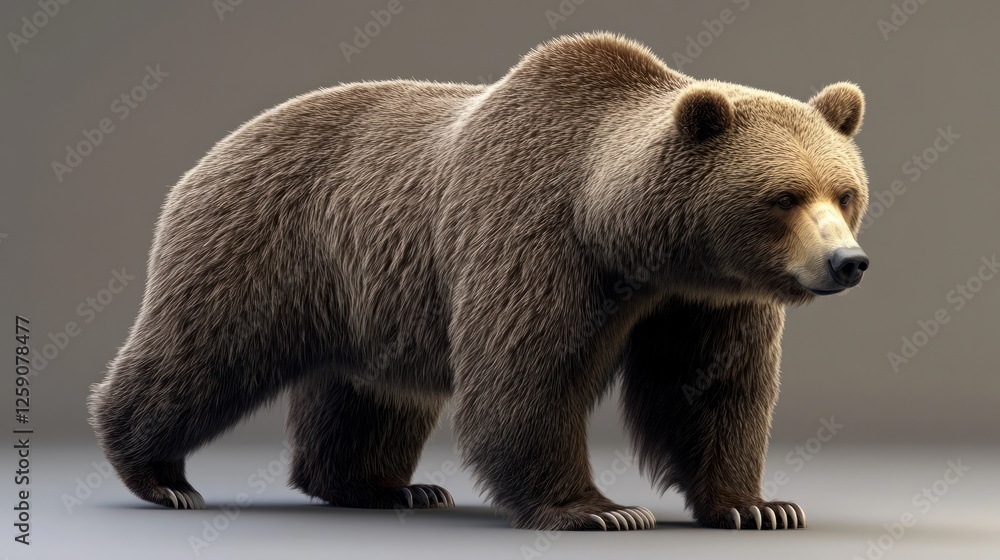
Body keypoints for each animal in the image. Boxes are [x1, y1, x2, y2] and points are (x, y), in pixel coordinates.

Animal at [89, 32, 870, 531]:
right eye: (784, 196)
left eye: (845, 191)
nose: (847, 262)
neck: (625, 234)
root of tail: (212, 153)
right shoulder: (533, 238)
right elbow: (526, 375)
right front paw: (600, 509)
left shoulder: (704, 299)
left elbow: (711, 389)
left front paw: (757, 505)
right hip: (262, 247)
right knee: (201, 353)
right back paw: (159, 475)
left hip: (365, 298)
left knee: (370, 395)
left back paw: (388, 488)